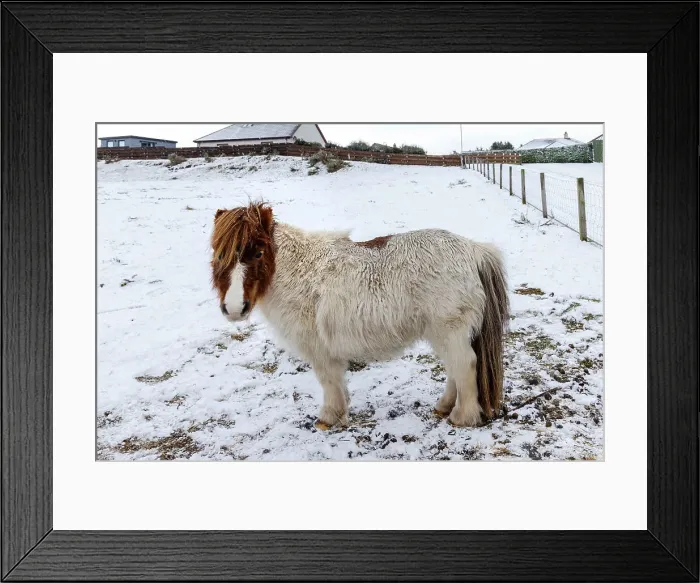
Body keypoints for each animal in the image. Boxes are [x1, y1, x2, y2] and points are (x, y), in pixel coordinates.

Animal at [211, 202, 509, 429]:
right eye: (219, 255)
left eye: (259, 253)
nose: (234, 308)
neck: (299, 270)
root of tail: (474, 250)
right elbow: (337, 382)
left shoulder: (320, 349)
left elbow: (328, 381)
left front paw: (328, 418)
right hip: (444, 333)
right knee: (454, 368)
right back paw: (444, 406)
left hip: (449, 329)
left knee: (465, 365)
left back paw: (462, 417)